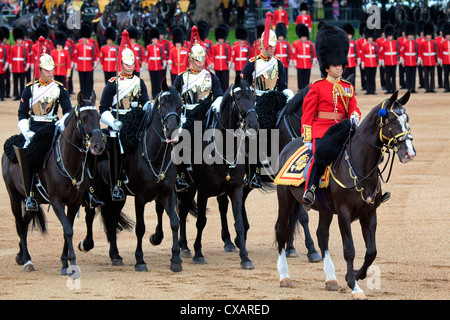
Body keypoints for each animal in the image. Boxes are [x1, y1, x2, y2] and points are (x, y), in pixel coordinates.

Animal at [1, 93, 104, 276]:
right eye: (84, 118)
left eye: (99, 117)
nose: (99, 146)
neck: (68, 161)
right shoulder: (56, 201)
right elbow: (68, 230)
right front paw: (72, 263)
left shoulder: (74, 202)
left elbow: (67, 229)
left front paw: (64, 263)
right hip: (14, 195)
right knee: (19, 224)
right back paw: (27, 260)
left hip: (33, 200)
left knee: (25, 223)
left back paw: (21, 255)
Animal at [78, 80, 184, 272]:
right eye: (163, 104)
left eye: (180, 104)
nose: (172, 131)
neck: (155, 156)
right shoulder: (140, 198)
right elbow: (140, 227)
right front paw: (140, 260)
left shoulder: (167, 193)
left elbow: (174, 222)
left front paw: (176, 259)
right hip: (96, 189)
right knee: (90, 214)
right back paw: (86, 244)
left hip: (116, 196)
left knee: (112, 221)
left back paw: (115, 255)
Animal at [177, 76, 260, 268]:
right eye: (238, 98)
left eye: (254, 97)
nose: (254, 124)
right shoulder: (203, 191)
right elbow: (201, 222)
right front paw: (198, 253)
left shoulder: (236, 189)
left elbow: (239, 223)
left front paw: (245, 257)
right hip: (187, 186)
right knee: (182, 211)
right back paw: (184, 247)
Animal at [274, 90, 414, 300]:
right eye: (390, 120)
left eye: (407, 118)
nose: (409, 153)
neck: (361, 166)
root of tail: (289, 146)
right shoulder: (344, 213)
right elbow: (349, 249)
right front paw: (354, 285)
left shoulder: (369, 213)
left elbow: (371, 251)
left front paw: (357, 274)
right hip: (285, 199)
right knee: (282, 231)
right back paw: (284, 276)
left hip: (324, 208)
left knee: (322, 235)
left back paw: (330, 279)